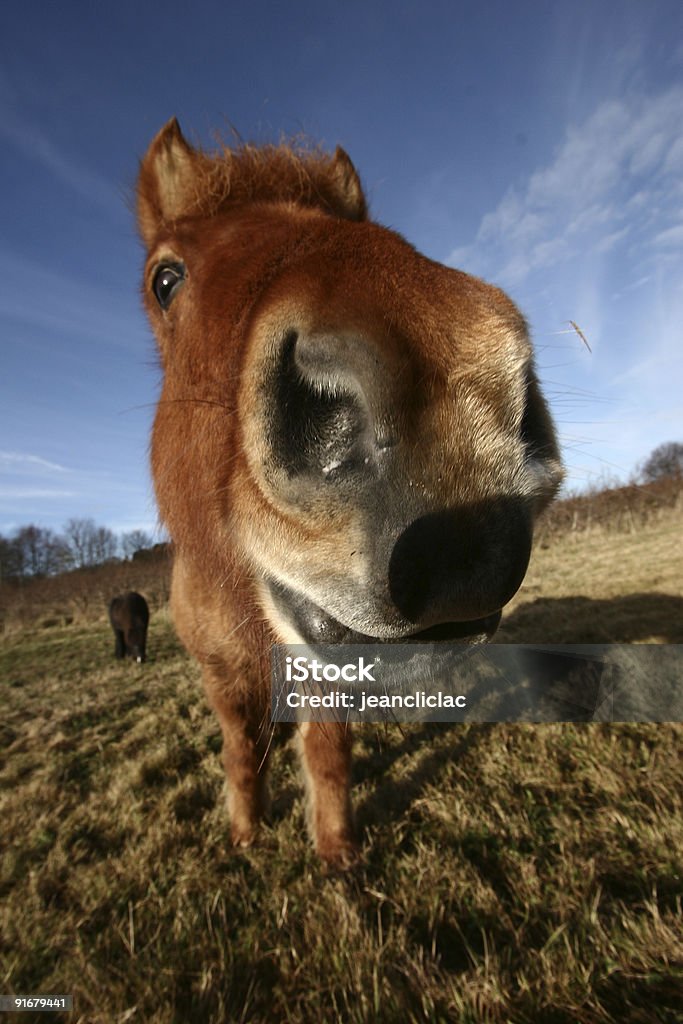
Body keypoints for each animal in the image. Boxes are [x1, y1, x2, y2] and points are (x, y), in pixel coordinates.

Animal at [136, 117, 565, 864]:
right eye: (165, 278)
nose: (456, 407)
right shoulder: (223, 680)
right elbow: (241, 752)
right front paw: (245, 832)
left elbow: (328, 752)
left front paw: (336, 851)